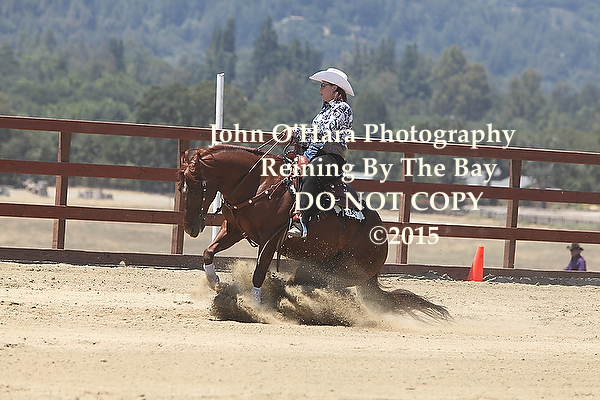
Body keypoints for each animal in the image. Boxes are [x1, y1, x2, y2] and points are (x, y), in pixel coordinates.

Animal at [178, 144, 449, 320]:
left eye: (196, 189)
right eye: (181, 188)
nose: (191, 227)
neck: (258, 182)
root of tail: (381, 241)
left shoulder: (270, 238)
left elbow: (258, 273)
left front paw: (255, 308)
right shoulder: (235, 229)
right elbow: (208, 252)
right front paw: (215, 282)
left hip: (340, 272)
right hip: (315, 266)